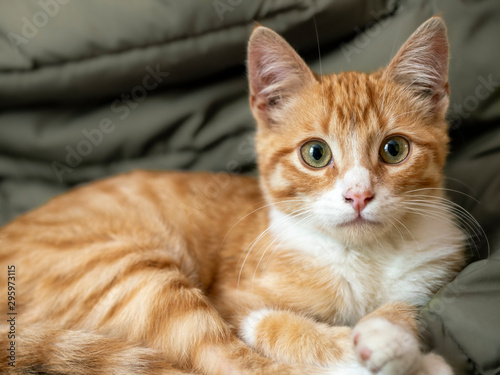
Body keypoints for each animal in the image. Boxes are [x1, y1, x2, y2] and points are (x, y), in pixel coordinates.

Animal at [1, 16, 466, 374]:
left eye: (394, 149)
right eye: (316, 153)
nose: (358, 196)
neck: (364, 260)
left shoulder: (429, 277)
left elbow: (403, 309)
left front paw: (389, 332)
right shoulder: (233, 300)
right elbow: (270, 324)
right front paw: (385, 348)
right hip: (129, 271)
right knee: (226, 363)